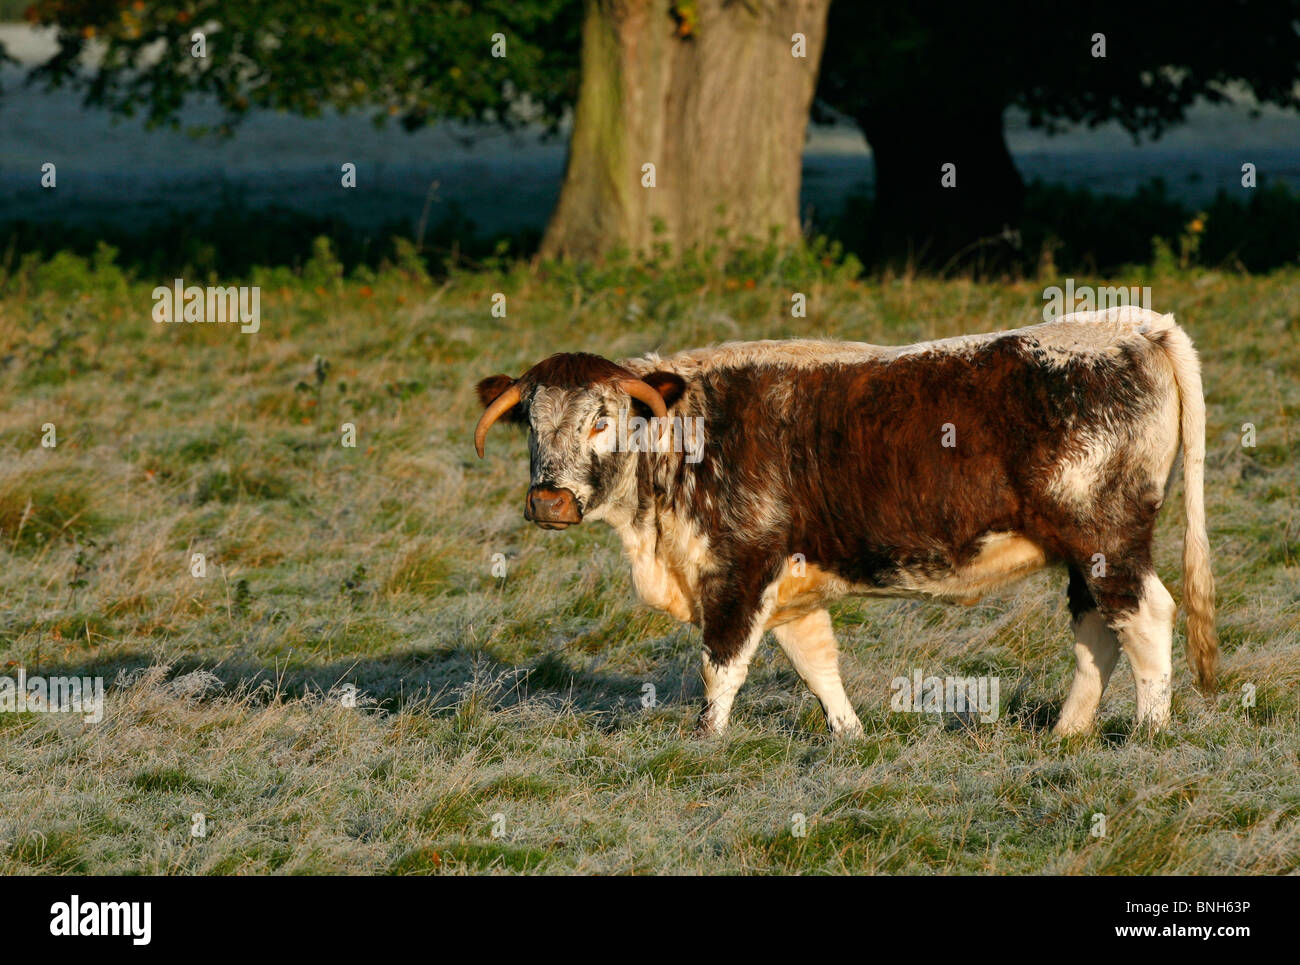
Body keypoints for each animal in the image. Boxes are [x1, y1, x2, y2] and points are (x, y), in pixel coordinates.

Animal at [475, 309, 1216, 738]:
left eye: (602, 419)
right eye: (532, 423)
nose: (549, 500)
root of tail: (1135, 324)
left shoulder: (740, 568)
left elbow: (723, 665)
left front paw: (707, 742)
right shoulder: (792, 583)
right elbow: (815, 662)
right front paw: (850, 734)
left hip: (1105, 537)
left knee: (1146, 615)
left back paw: (1150, 731)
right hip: (1082, 550)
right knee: (1098, 629)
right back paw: (1067, 732)